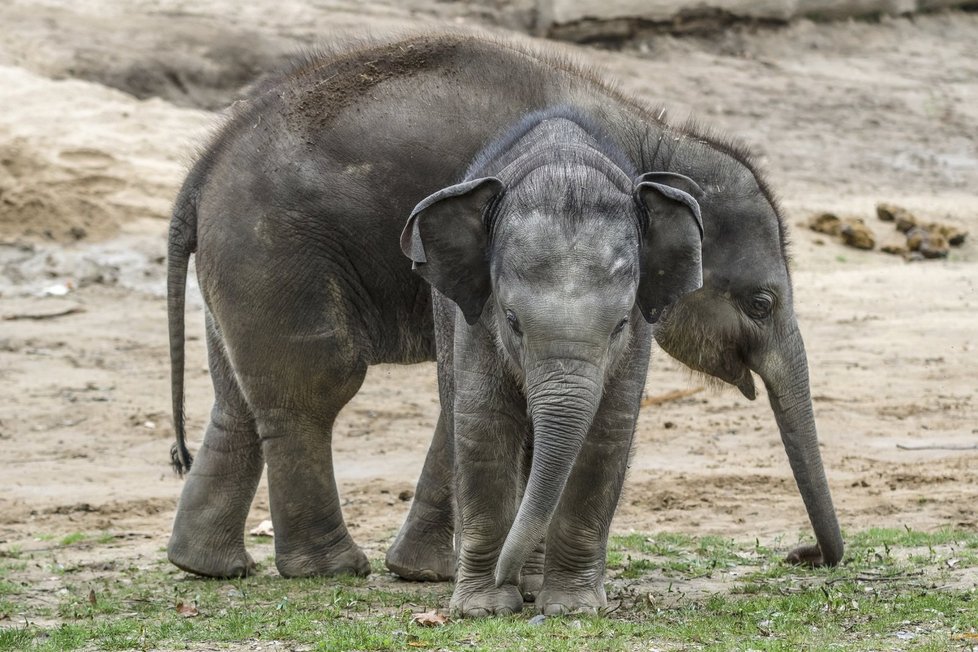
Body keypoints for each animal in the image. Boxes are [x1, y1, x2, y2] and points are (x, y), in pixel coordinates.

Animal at [166, 31, 840, 616]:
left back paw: (209, 567)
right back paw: (332, 569)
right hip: (276, 255)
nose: (802, 554)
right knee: (313, 390)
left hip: (244, 268)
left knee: (239, 398)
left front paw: (442, 574)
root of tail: (200, 172)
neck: (660, 139)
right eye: (761, 303)